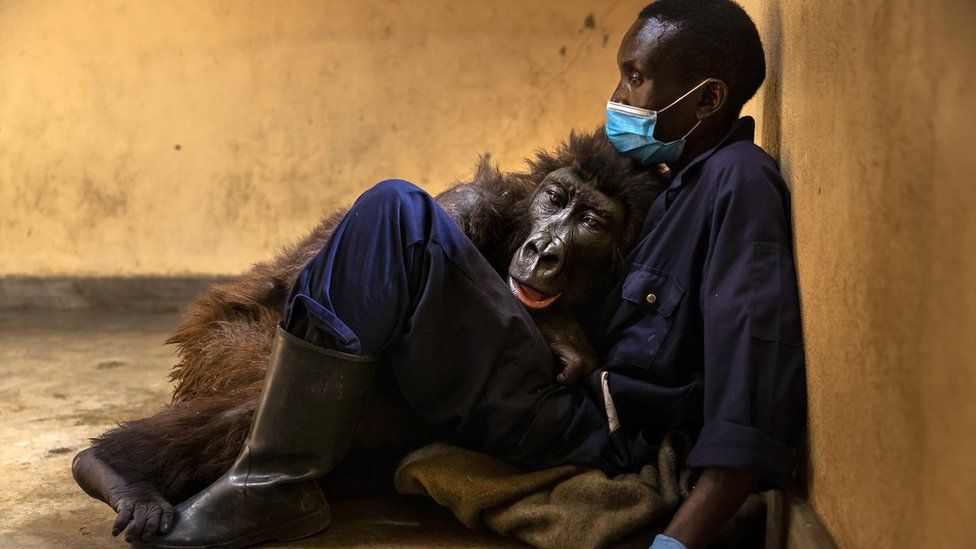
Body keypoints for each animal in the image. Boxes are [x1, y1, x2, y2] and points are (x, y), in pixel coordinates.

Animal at [72, 127, 668, 540]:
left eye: (590, 221)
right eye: (555, 200)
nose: (543, 249)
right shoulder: (468, 205)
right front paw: (557, 330)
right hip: (219, 345)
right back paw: (117, 469)